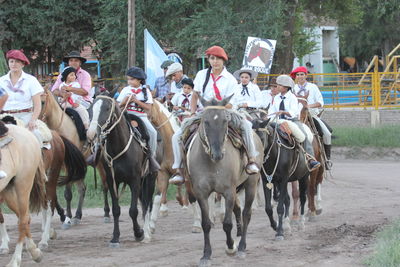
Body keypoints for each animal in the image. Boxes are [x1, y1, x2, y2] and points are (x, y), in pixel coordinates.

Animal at [0, 124, 47, 266]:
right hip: (8, 190)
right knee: (25, 217)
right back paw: (34, 250)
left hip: (23, 184)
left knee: (23, 220)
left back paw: (16, 260)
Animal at [184, 97, 264, 266]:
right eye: (206, 121)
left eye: (225, 121)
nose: (218, 154)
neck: (211, 162)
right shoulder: (201, 193)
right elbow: (206, 224)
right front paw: (206, 255)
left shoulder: (228, 191)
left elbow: (227, 223)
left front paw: (231, 247)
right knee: (238, 210)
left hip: (251, 183)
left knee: (246, 213)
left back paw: (241, 247)